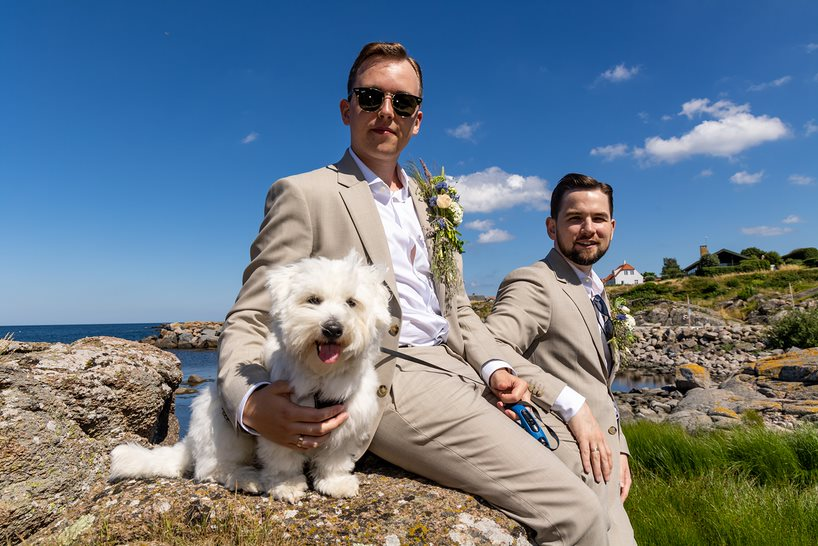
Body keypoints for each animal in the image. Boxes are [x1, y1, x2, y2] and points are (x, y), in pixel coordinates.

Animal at [110, 254, 390, 502]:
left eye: (351, 303)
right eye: (313, 300)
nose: (333, 328)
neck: (321, 374)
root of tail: (189, 443)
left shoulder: (348, 421)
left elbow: (335, 459)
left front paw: (335, 482)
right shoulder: (279, 423)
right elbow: (283, 460)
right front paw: (286, 485)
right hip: (223, 426)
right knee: (211, 469)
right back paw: (245, 478)